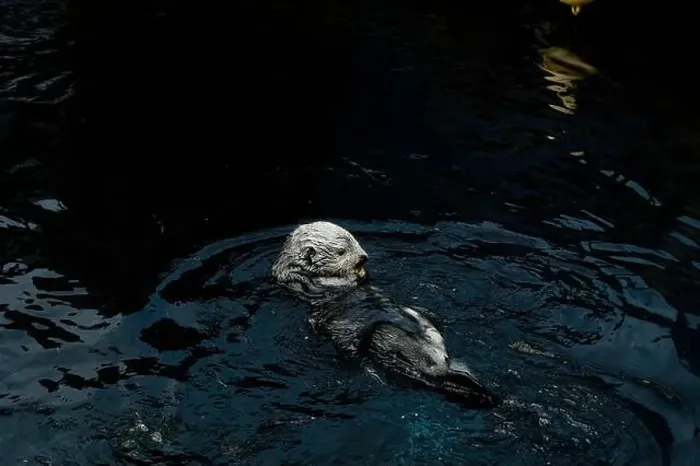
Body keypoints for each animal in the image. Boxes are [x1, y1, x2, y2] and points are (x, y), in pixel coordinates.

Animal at [271, 221, 498, 407]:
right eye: (342, 252)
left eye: (355, 241)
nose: (363, 258)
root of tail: (439, 365)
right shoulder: (303, 283)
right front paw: (354, 274)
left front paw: (362, 271)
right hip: (368, 339)